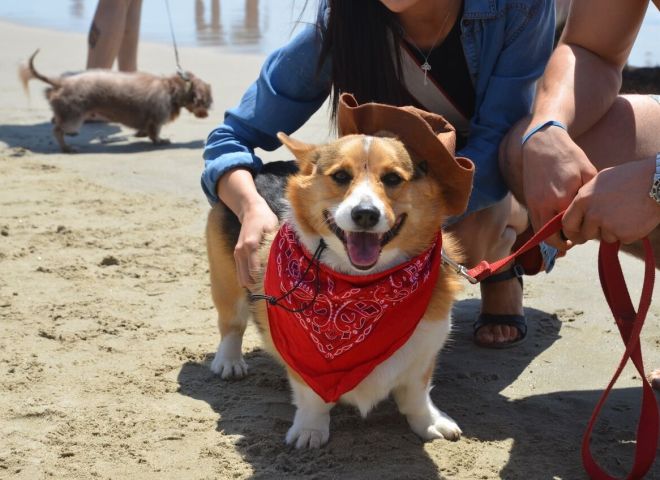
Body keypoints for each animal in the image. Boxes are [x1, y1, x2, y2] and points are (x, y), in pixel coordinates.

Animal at [18, 49, 211, 151]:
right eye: (207, 102)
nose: (207, 115)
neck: (171, 88)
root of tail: (62, 82)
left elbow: (145, 129)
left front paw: (141, 134)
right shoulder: (157, 119)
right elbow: (155, 133)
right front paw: (160, 141)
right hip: (73, 116)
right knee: (58, 130)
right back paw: (67, 147)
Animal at [204, 94, 472, 450]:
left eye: (392, 179)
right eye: (341, 176)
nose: (365, 214)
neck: (360, 287)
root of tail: (262, 168)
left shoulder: (423, 355)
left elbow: (417, 396)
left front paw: (430, 423)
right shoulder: (304, 363)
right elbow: (312, 399)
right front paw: (310, 431)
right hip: (228, 279)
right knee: (231, 324)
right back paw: (229, 362)